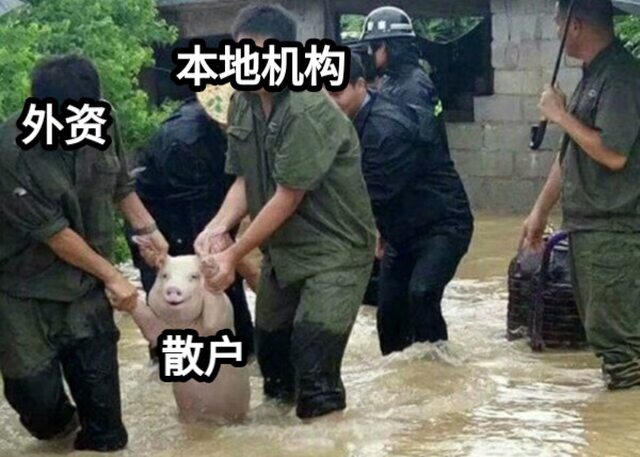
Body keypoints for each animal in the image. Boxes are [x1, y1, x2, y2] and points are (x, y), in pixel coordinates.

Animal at [129, 255, 251, 424]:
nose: (173, 289)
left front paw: (208, 266)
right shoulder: (160, 330)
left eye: (193, 276)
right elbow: (150, 325)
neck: (186, 327)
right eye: (165, 276)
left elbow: (213, 318)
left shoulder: (223, 317)